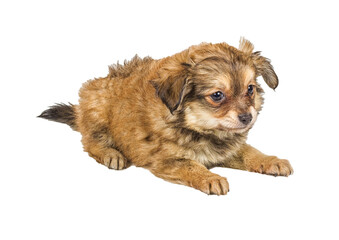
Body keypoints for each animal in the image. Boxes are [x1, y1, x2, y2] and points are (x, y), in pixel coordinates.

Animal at [38, 38, 294, 195]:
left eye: (250, 89)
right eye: (217, 95)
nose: (246, 117)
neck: (199, 128)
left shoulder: (227, 149)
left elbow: (250, 151)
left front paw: (272, 160)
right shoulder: (165, 159)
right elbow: (190, 164)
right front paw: (209, 177)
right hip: (97, 109)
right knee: (89, 141)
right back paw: (111, 154)